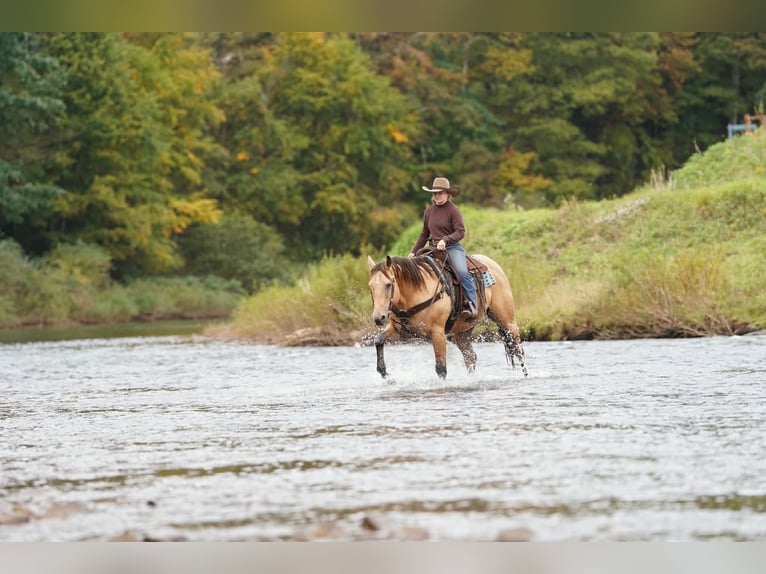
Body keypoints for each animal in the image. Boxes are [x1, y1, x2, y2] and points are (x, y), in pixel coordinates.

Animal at [367, 251, 528, 379]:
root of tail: (492, 264)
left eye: (388, 285)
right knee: (470, 357)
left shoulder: (437, 333)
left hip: (507, 321)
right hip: (461, 333)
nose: (379, 317)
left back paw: (525, 375)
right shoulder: (400, 330)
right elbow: (379, 340)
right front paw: (383, 371)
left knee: (518, 350)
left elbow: (441, 368)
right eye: (370, 287)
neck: (416, 293)